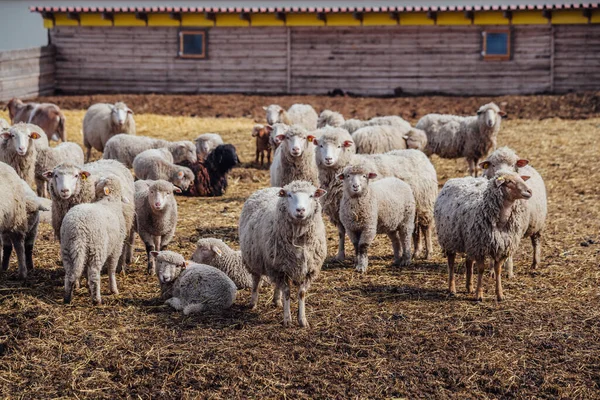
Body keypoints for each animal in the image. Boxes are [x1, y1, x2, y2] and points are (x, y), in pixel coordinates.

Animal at [238, 181, 328, 328]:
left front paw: (302, 320)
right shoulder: (279, 269)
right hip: (255, 258)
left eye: (311, 195)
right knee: (256, 280)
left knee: (277, 286)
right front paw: (287, 319)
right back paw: (253, 302)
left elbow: (301, 294)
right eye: (289, 195)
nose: (300, 210)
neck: (298, 238)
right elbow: (287, 292)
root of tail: (268, 188)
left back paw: (276, 300)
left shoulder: (306, 270)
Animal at [314, 126, 436, 260]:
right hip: (412, 206)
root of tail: (419, 154)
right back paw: (416, 251)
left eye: (339, 146)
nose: (328, 159)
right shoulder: (339, 212)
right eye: (320, 145)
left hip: (424, 202)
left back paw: (428, 252)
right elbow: (341, 233)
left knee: (426, 227)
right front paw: (340, 256)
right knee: (415, 228)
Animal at [436, 170, 528, 302]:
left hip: (469, 241)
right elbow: (481, 269)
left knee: (468, 262)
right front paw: (479, 295)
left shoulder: (501, 247)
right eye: (509, 181)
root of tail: (459, 178)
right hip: (450, 238)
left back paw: (469, 287)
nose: (529, 191)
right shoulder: (479, 247)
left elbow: (498, 270)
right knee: (451, 262)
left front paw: (500, 294)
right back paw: (452, 288)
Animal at [480, 147, 548, 278]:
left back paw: (535, 264)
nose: (503, 175)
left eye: (513, 165)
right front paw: (491, 271)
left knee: (536, 242)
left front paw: (509, 272)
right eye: (493, 164)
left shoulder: (515, 230)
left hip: (538, 224)